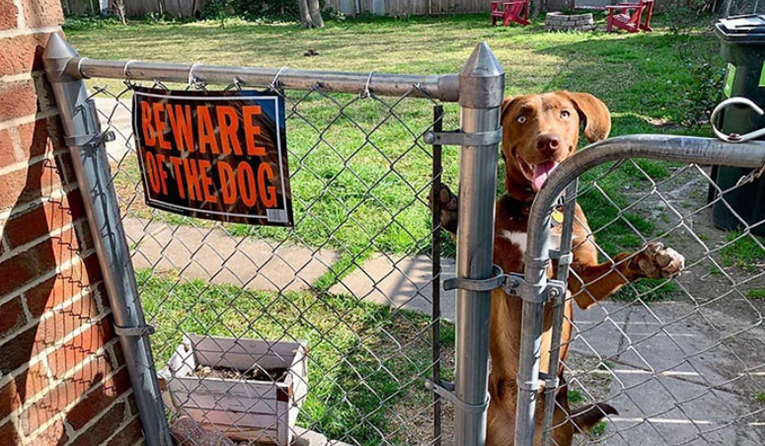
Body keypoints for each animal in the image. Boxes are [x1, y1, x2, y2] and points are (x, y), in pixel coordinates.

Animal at [432, 91, 684, 446]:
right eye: (522, 117)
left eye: (565, 114)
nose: (548, 142)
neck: (535, 210)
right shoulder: (497, 264)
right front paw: (449, 209)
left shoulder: (580, 282)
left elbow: (615, 264)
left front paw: (650, 261)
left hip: (556, 433)